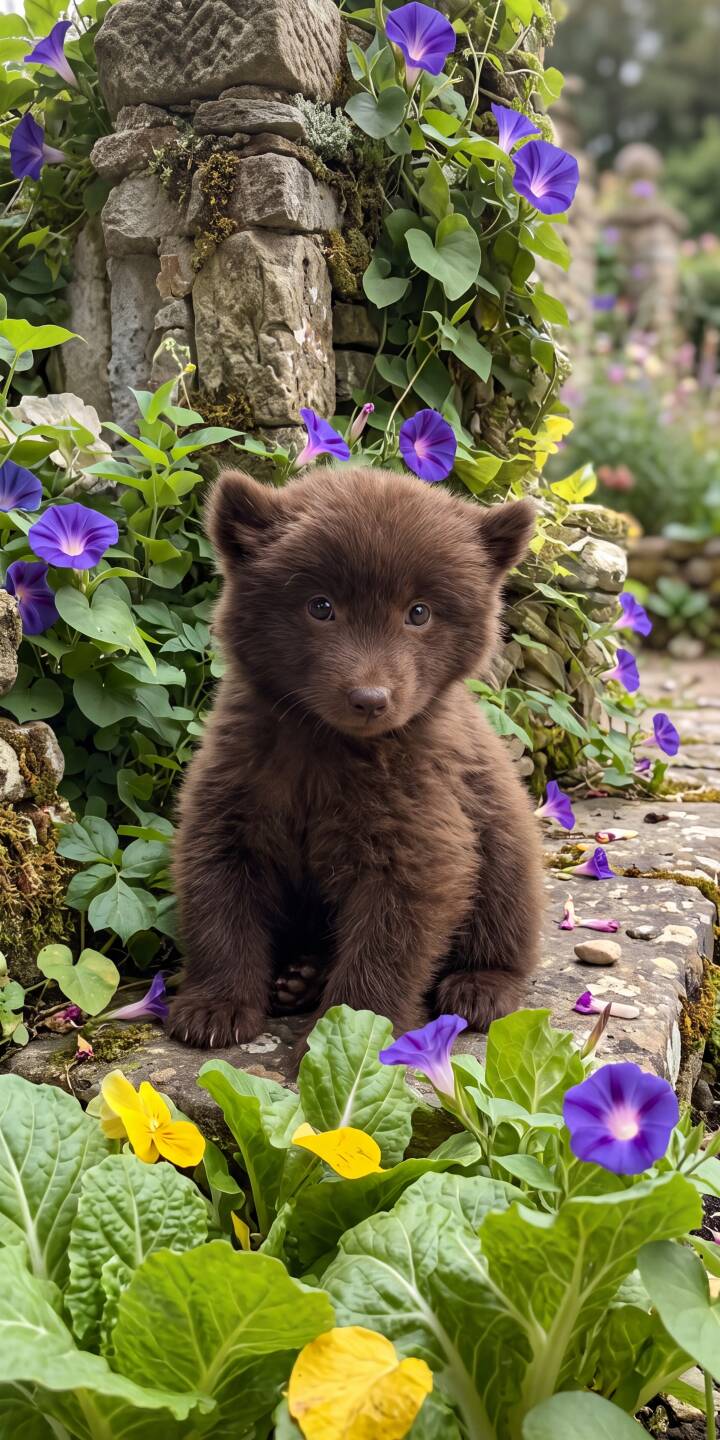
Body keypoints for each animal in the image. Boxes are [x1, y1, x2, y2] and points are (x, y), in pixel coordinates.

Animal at [167, 464, 544, 1049]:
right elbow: (219, 897)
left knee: (507, 907)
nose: (370, 698)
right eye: (320, 605)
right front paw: (214, 1007)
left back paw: (480, 988)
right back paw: (298, 978)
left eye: (419, 612)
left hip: (502, 832)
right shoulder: (235, 788)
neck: (325, 744)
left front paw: (356, 1028)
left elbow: (390, 932)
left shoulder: (417, 815)